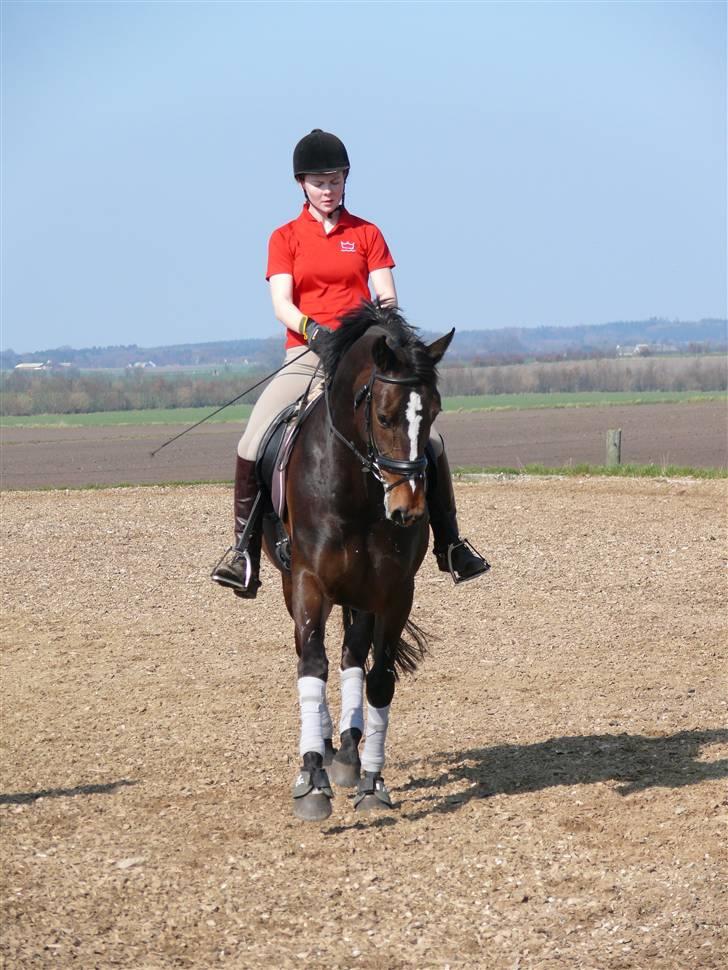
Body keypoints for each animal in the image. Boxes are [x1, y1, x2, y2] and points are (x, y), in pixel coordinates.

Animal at [264, 300, 456, 816]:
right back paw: (328, 747)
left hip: (360, 593)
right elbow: (312, 665)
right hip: (296, 584)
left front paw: (372, 781)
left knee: (352, 654)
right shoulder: (309, 582)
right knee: (317, 656)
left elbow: (379, 679)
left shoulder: (393, 592)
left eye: (433, 412)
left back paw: (349, 752)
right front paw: (312, 778)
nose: (408, 510)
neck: (356, 488)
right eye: (385, 417)